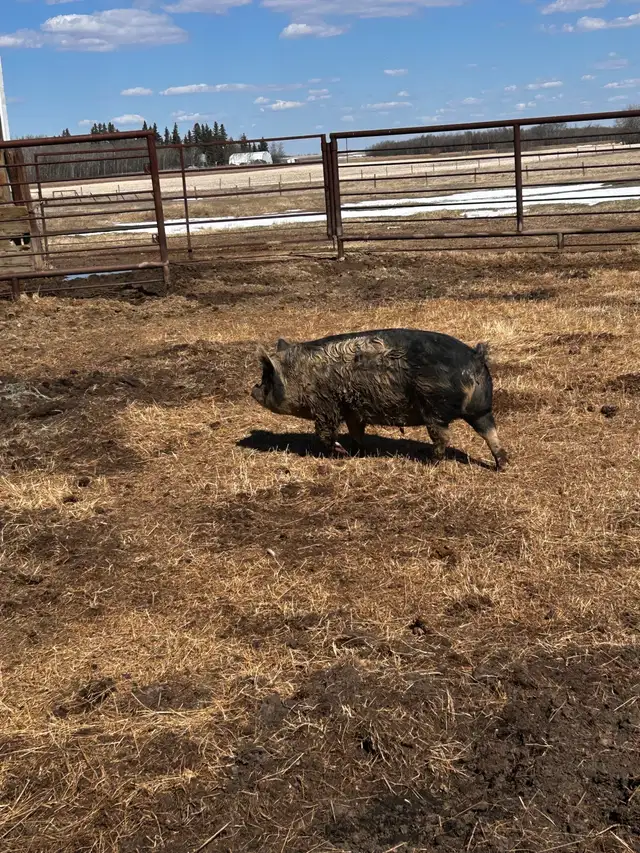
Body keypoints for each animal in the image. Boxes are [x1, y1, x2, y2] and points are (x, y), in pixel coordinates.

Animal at [251, 329, 508, 471]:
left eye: (267, 377)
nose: (253, 389)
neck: (301, 374)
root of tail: (475, 357)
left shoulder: (326, 406)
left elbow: (325, 433)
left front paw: (342, 453)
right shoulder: (353, 411)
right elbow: (356, 430)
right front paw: (358, 452)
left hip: (433, 406)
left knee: (444, 436)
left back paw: (430, 461)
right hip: (481, 409)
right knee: (490, 431)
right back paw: (501, 465)